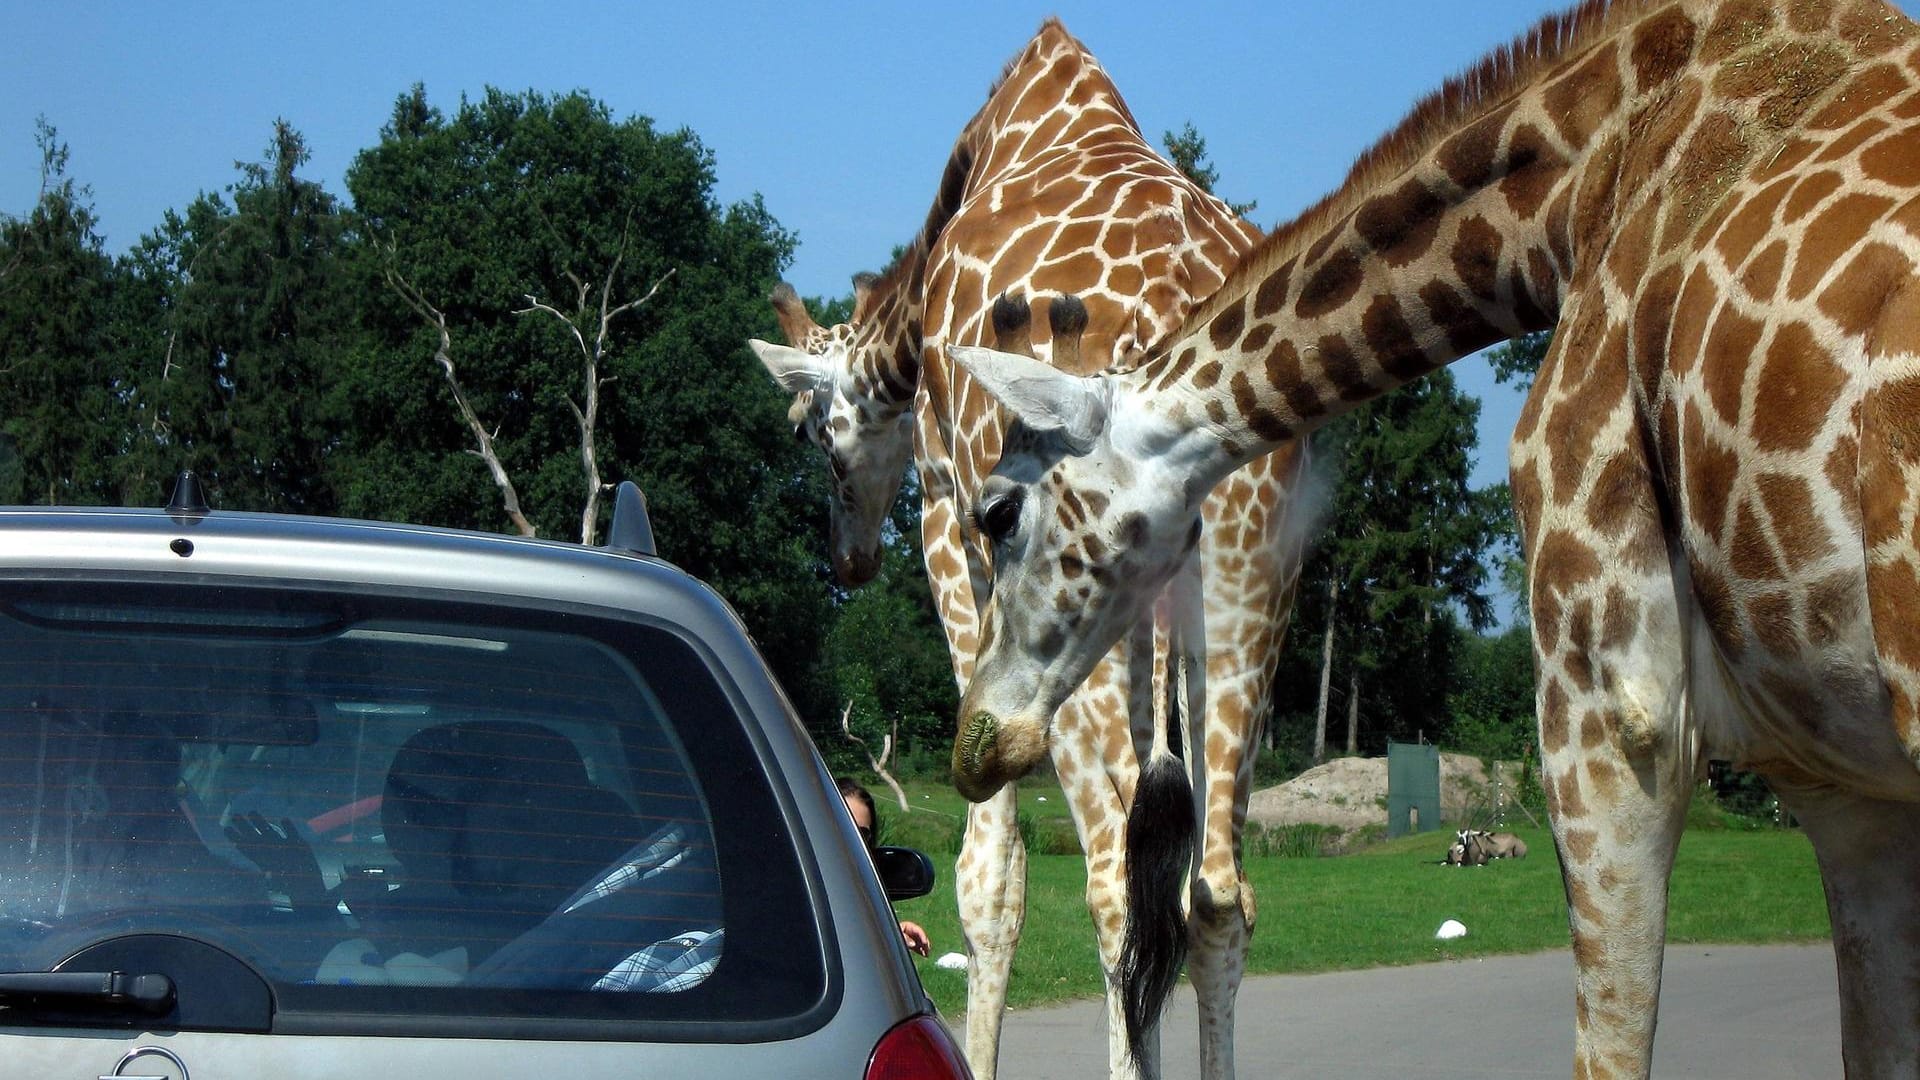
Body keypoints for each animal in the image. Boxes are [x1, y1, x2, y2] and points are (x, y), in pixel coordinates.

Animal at [744, 16, 1305, 1076]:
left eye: (807, 432)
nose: (847, 558)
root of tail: (1169, 301)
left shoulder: (948, 520)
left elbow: (988, 872)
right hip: (1253, 580)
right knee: (1216, 893)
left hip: (1084, 607)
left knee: (1120, 880)